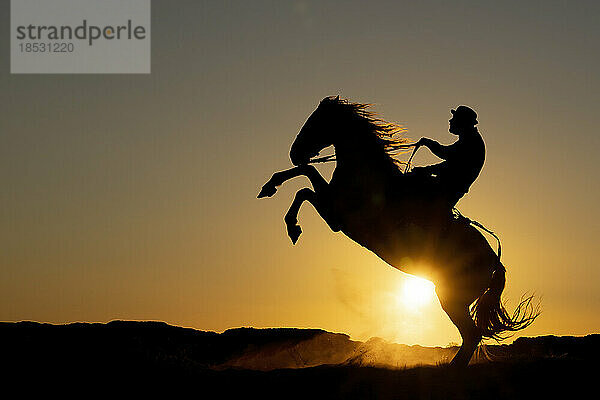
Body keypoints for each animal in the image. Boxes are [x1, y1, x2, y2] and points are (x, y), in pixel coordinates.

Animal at [258, 96, 540, 366]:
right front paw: (270, 187)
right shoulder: (334, 210)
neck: (368, 176)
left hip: (451, 297)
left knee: (471, 335)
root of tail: (495, 263)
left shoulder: (337, 217)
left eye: (316, 122)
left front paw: (292, 225)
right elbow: (306, 176)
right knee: (471, 335)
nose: (294, 153)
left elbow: (305, 184)